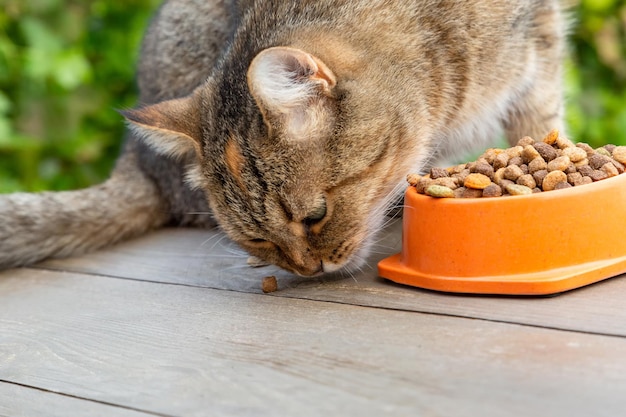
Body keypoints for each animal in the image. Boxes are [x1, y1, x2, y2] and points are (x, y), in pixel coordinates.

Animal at [0, 0, 564, 276]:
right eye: (257, 238)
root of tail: (134, 158)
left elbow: (542, 120)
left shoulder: (541, 41)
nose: (310, 270)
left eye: (315, 216)